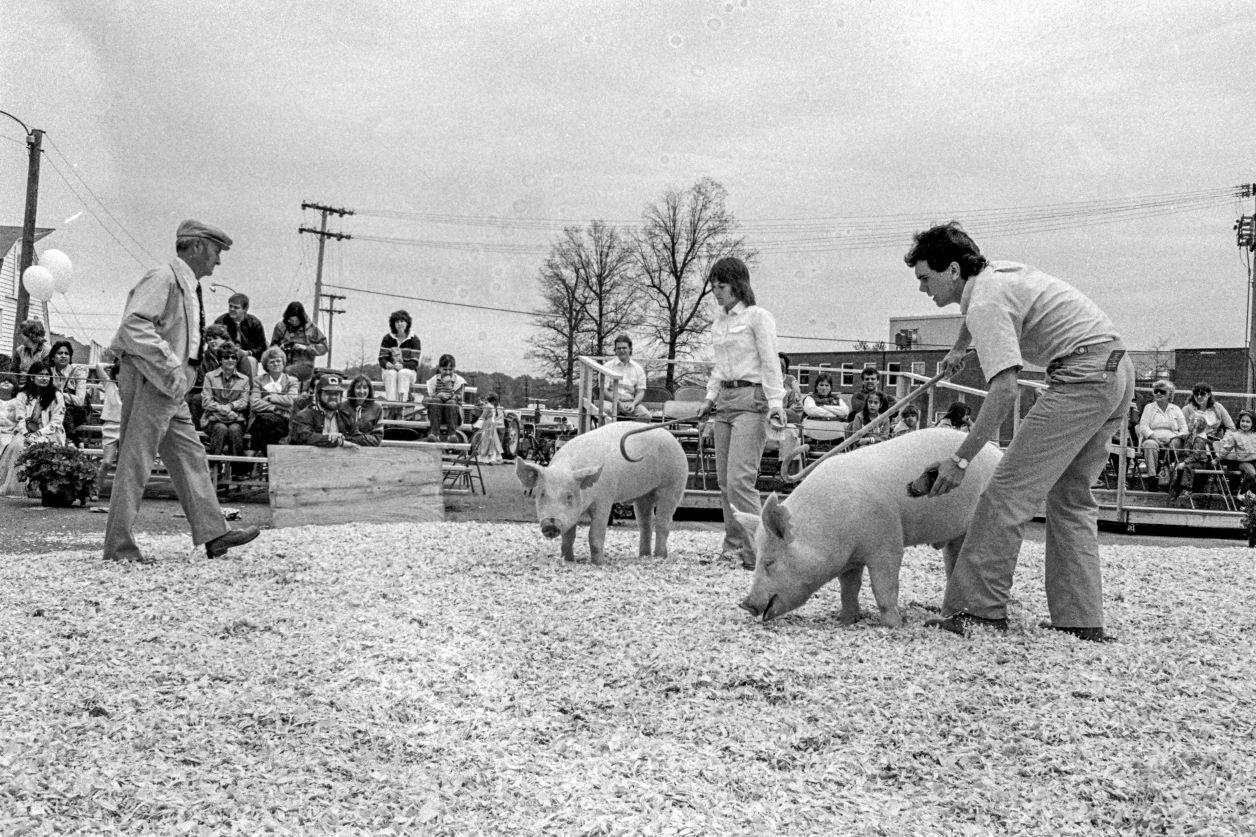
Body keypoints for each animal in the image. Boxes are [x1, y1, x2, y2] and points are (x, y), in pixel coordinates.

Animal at [512, 424, 688, 560]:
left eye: (569, 496)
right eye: (542, 494)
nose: (550, 524)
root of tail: (672, 438)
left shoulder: (605, 498)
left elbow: (595, 533)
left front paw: (599, 563)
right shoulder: (572, 513)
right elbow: (569, 537)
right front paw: (568, 560)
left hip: (674, 484)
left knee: (663, 521)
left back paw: (660, 557)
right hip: (644, 494)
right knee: (644, 522)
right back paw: (643, 556)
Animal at [733, 427, 999, 623]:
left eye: (769, 562)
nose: (745, 604)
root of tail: (996, 451)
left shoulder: (888, 544)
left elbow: (883, 588)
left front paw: (895, 625)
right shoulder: (850, 561)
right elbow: (848, 589)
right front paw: (846, 620)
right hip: (956, 536)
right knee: (953, 566)